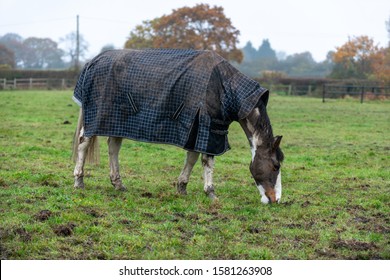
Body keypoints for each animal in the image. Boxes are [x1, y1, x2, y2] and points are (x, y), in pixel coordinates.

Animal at [72, 49, 284, 205]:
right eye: (276, 165)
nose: (276, 199)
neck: (224, 86)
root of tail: (92, 62)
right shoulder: (210, 130)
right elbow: (207, 161)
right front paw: (211, 193)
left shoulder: (197, 130)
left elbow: (191, 158)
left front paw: (182, 187)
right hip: (95, 117)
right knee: (83, 143)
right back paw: (79, 181)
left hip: (118, 121)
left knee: (113, 147)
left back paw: (118, 184)